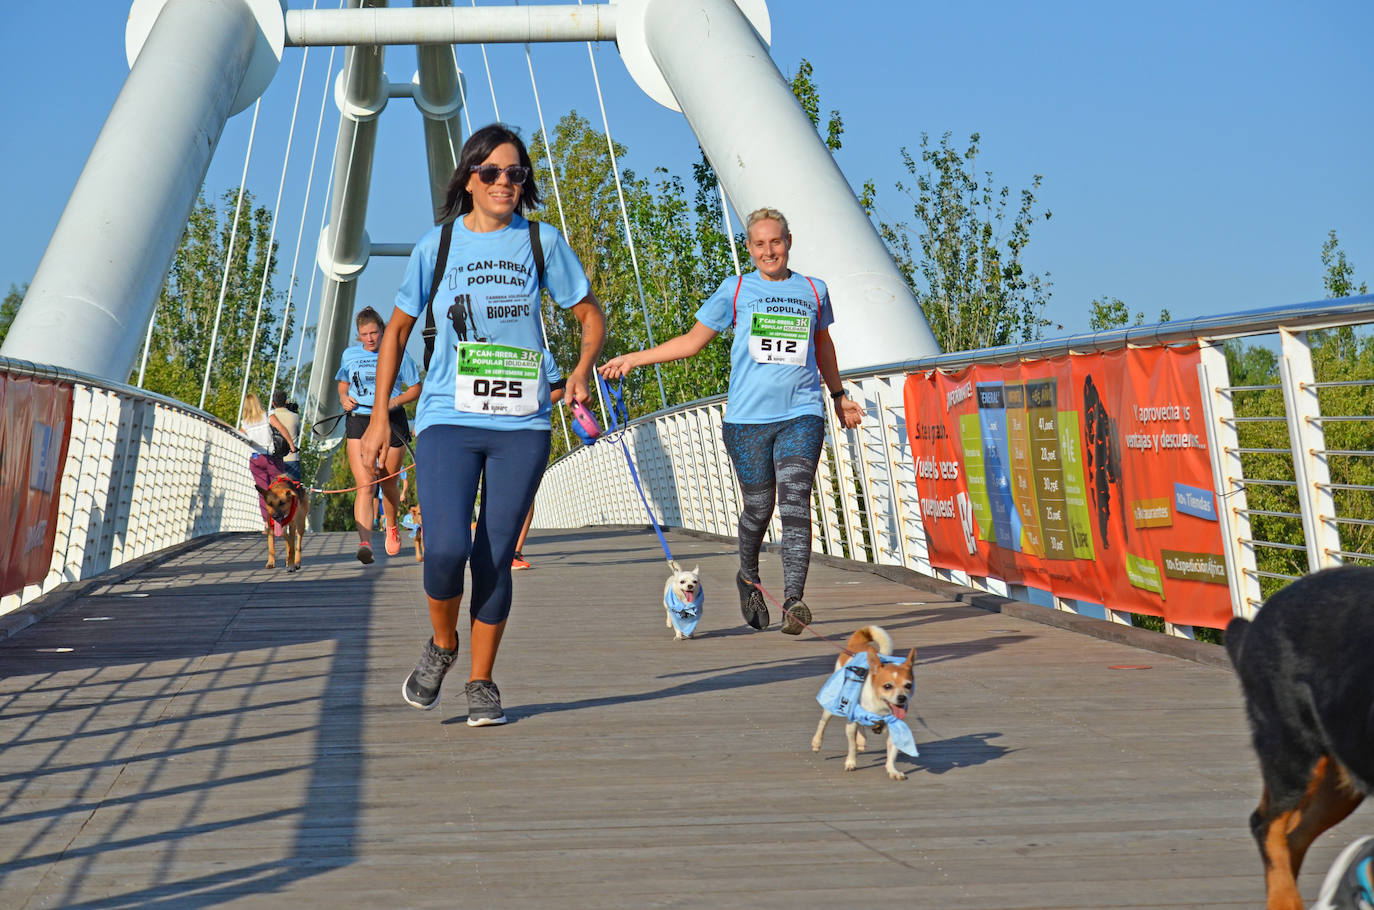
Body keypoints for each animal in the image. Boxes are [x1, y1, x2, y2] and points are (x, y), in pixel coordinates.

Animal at [807, 626, 917, 786]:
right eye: (887, 686)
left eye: (908, 685)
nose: (902, 698)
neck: (880, 708)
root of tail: (857, 645)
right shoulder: (850, 724)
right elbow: (851, 746)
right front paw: (850, 762)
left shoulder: (895, 726)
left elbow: (892, 753)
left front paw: (892, 770)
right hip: (834, 705)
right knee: (823, 722)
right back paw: (816, 743)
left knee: (861, 725)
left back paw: (862, 739)